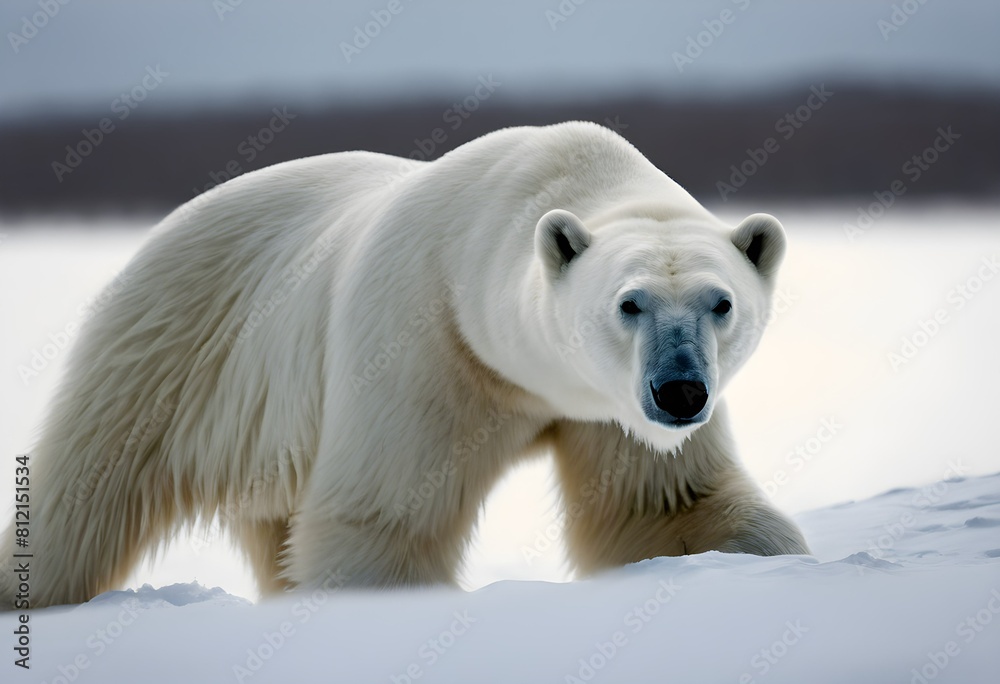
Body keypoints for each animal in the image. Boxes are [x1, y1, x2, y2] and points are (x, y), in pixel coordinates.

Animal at [0, 121, 808, 609]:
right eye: (628, 304)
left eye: (720, 303)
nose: (679, 391)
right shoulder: (421, 340)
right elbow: (386, 516)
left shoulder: (602, 407)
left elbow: (668, 506)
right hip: (173, 347)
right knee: (85, 492)